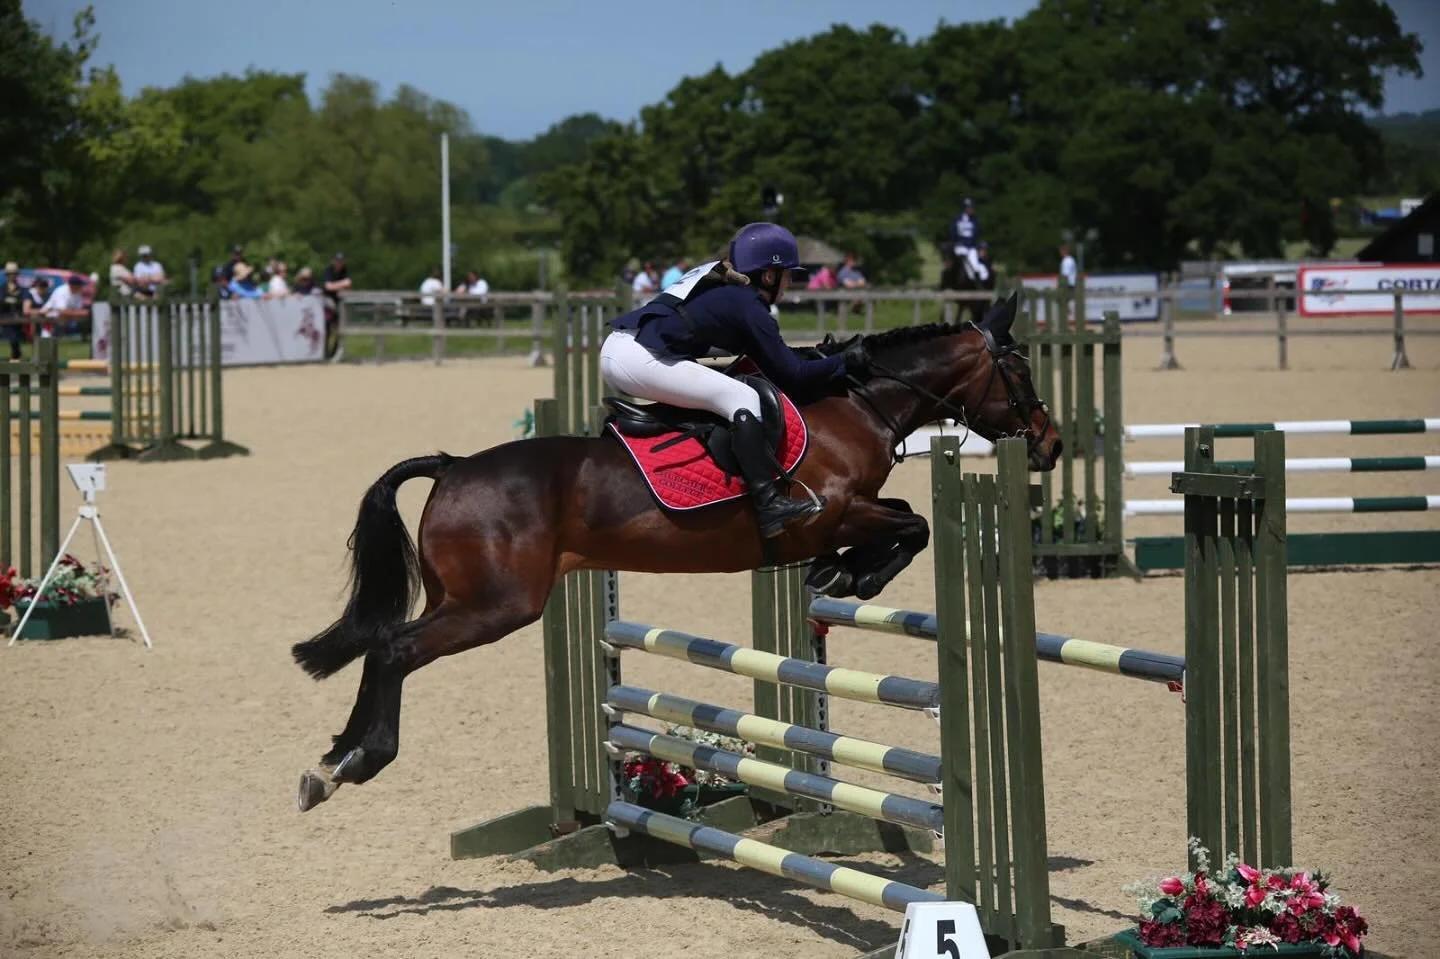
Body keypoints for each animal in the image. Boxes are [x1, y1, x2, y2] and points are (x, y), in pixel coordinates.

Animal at [291, 291, 1061, 812]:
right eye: (1021, 370)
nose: (1050, 445)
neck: (854, 404)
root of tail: (453, 467)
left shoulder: (853, 510)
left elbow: (906, 522)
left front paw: (842, 572)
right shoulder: (832, 510)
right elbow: (914, 524)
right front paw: (849, 573)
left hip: (464, 597)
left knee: (383, 644)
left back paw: (332, 757)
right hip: (496, 605)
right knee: (394, 649)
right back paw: (356, 762)